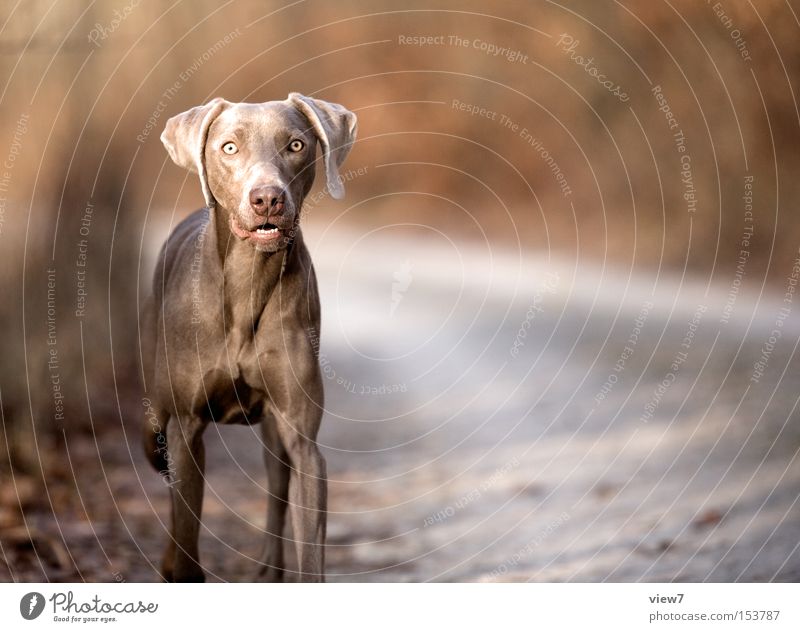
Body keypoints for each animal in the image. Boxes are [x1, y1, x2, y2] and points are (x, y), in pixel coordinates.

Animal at [142, 92, 358, 584]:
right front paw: (180, 567)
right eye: (228, 147)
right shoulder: (186, 427)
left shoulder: (303, 440)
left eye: (296, 144)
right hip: (158, 415)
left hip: (275, 433)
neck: (249, 281)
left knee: (277, 487)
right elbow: (186, 529)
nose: (267, 198)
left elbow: (309, 544)